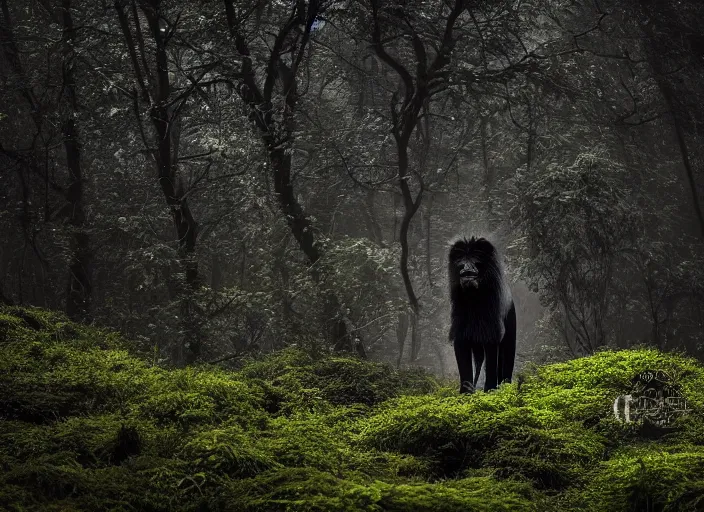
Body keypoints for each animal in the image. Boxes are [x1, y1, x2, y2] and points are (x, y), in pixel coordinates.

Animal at [448, 236, 516, 392]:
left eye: (476, 262)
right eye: (461, 264)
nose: (467, 270)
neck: (474, 300)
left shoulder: (491, 333)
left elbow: (491, 365)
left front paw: (490, 390)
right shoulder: (461, 335)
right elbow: (464, 367)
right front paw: (466, 392)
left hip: (509, 337)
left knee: (506, 362)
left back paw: (506, 386)